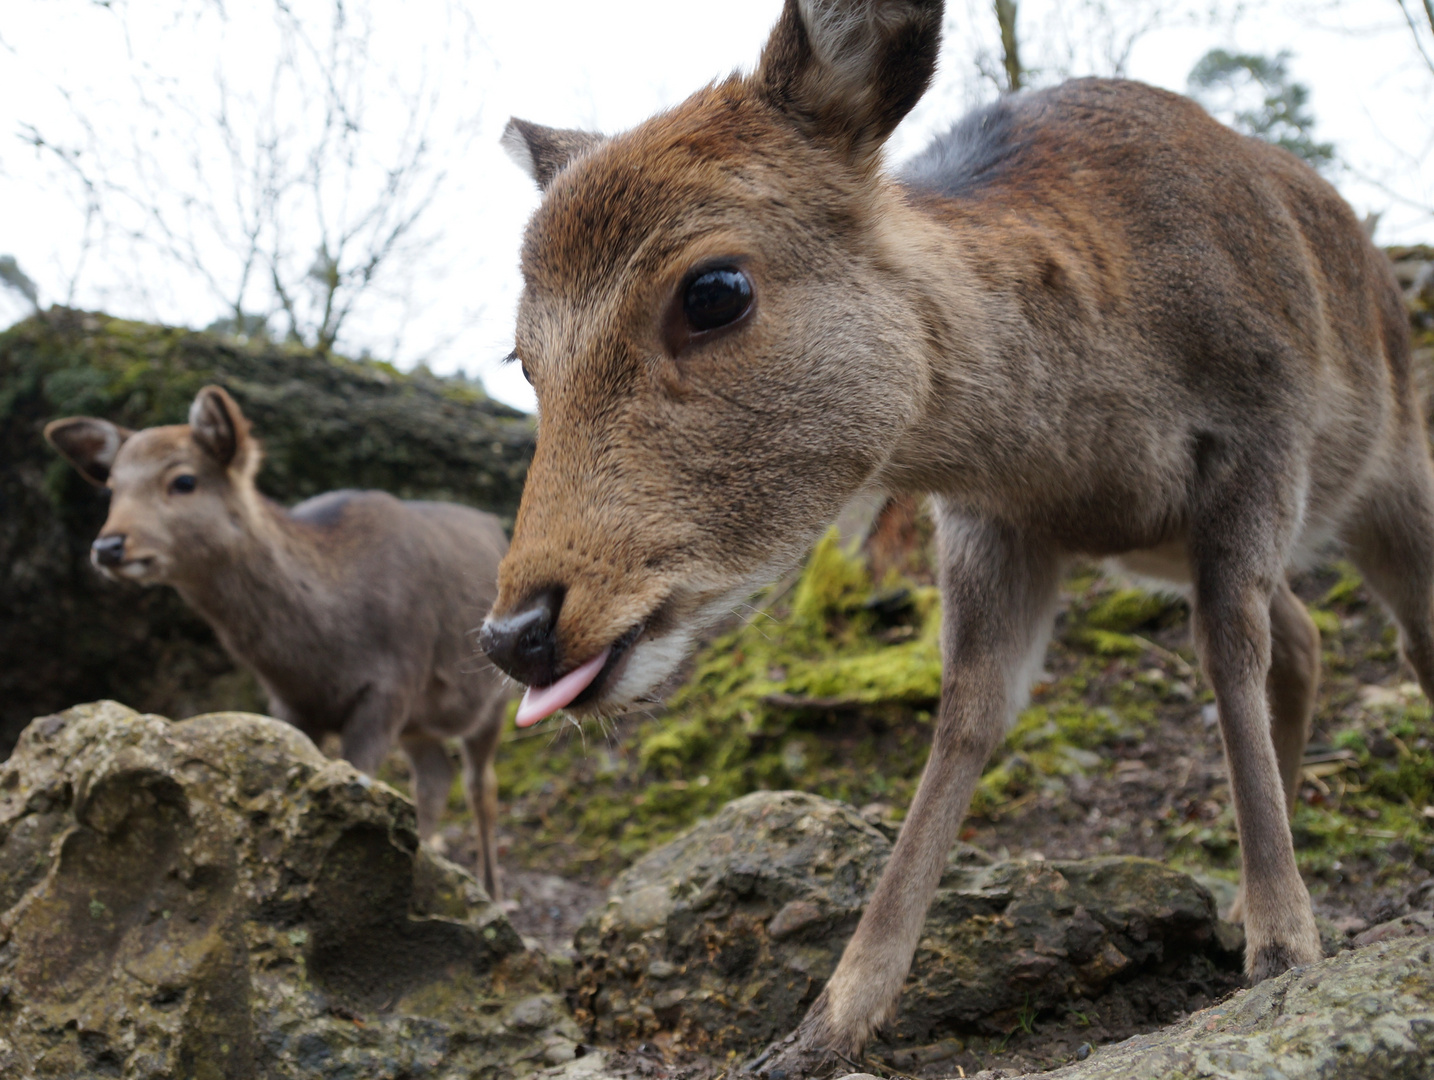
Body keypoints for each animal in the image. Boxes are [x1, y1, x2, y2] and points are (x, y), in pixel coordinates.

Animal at [46, 387, 516, 900]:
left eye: (184, 480)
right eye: (113, 488)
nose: (108, 546)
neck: (322, 654)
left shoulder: (392, 684)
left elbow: (362, 778)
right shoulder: (290, 705)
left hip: (496, 693)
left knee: (481, 786)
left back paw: (493, 891)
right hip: (420, 724)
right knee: (434, 778)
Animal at [476, 0, 1428, 1072]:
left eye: (714, 289)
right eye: (522, 356)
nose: (516, 634)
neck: (1078, 448)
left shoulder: (1265, 425)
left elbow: (1228, 653)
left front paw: (1283, 948)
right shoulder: (991, 518)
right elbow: (968, 712)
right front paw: (824, 1024)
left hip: (1393, 466)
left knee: (1394, 629)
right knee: (1301, 633)